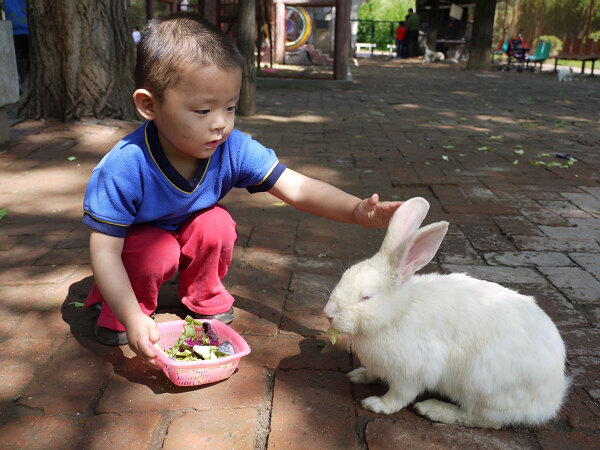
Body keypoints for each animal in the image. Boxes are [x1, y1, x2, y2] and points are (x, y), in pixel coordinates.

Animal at [326, 198, 568, 428]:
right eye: (345, 276)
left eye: (366, 297)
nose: (328, 313)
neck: (398, 313)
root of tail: (551, 400)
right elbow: (374, 372)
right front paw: (359, 375)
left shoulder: (412, 372)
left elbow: (400, 396)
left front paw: (377, 404)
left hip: (480, 385)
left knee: (485, 420)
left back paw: (433, 410)